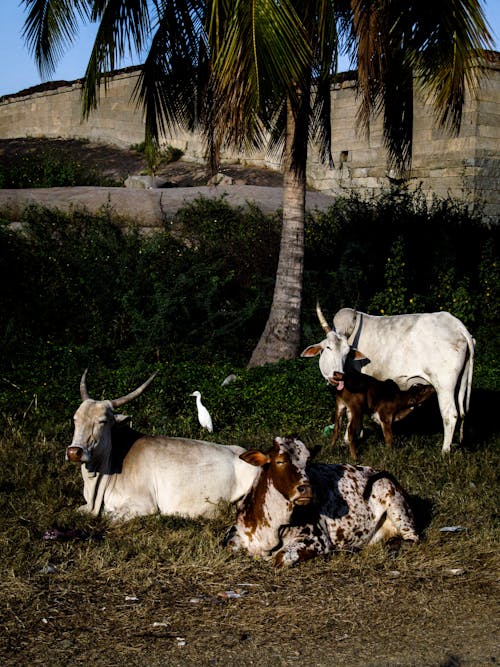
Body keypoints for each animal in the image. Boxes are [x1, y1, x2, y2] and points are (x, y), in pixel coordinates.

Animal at [226, 438, 418, 568]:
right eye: (279, 461)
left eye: (308, 462)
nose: (306, 489)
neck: (270, 528)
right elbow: (229, 547)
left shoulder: (316, 539)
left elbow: (280, 558)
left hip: (392, 499)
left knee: (412, 539)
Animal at [302, 306, 474, 454]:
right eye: (328, 348)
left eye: (347, 352)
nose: (337, 375)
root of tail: (458, 326)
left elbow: (351, 414)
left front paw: (347, 439)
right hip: (460, 384)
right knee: (462, 413)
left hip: (444, 386)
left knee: (450, 415)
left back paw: (444, 451)